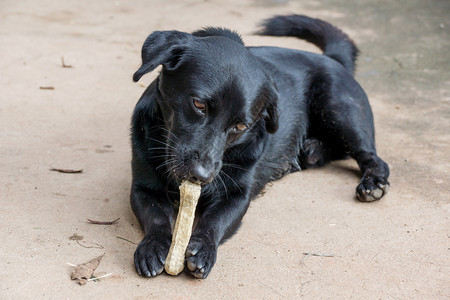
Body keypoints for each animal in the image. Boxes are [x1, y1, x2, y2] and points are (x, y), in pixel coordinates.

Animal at [130, 15, 390, 278]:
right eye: (199, 104)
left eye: (241, 126)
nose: (202, 176)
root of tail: (333, 59)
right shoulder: (143, 189)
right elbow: (156, 217)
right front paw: (153, 246)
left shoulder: (236, 196)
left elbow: (214, 223)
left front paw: (203, 248)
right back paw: (311, 152)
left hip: (338, 109)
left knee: (370, 155)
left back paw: (373, 183)